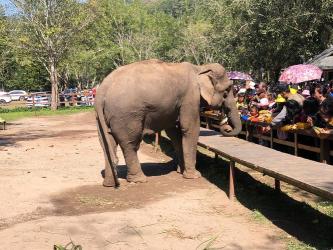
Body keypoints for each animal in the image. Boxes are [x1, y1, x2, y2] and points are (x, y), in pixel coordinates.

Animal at [94, 59, 240, 188]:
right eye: (227, 91)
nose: (226, 128)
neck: (199, 68)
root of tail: (102, 90)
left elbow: (175, 133)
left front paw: (181, 170)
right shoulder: (190, 97)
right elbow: (190, 128)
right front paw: (194, 176)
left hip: (102, 116)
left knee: (107, 143)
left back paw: (109, 184)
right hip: (127, 115)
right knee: (130, 144)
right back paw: (139, 180)